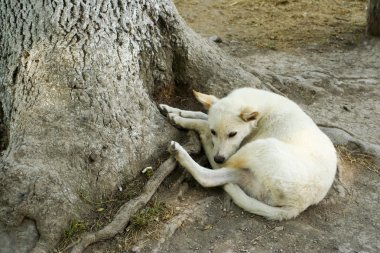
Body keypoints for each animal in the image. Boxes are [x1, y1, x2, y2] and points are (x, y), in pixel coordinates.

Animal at [159, 88, 336, 220]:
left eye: (233, 134)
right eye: (215, 131)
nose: (219, 157)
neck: (262, 111)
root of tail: (299, 206)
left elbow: (201, 122)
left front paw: (180, 119)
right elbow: (202, 115)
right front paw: (171, 110)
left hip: (259, 147)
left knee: (212, 169)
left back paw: (183, 150)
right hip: (248, 177)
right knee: (210, 178)